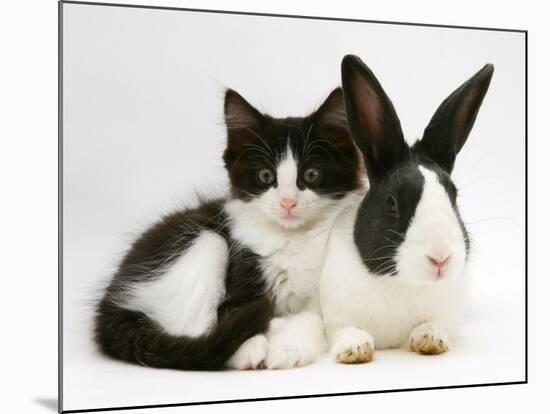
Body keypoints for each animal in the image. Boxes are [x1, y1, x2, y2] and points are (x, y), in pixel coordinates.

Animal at [94, 88, 366, 372]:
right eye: (266, 176)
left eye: (311, 174)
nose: (287, 202)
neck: (291, 238)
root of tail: (109, 302)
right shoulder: (242, 261)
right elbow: (232, 310)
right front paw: (254, 345)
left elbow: (312, 319)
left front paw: (286, 348)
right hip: (206, 240)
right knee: (198, 330)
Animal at [320, 54, 496, 362]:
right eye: (392, 203)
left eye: (454, 196)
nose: (440, 258)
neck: (403, 284)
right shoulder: (335, 316)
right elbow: (345, 330)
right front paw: (355, 349)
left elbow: (432, 324)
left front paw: (431, 339)